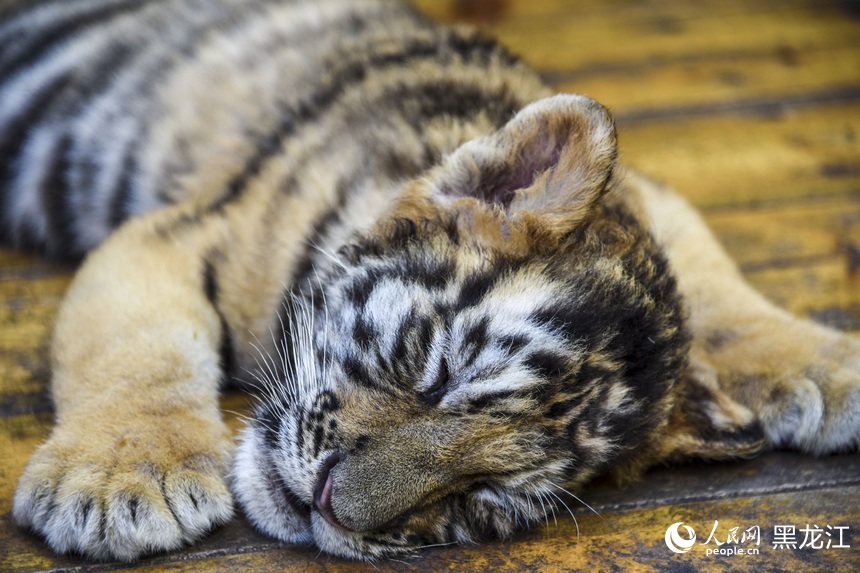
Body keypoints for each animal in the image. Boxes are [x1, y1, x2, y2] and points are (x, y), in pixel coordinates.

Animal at [3, 0, 859, 563]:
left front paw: (830, 367)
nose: (329, 505)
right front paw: (120, 479)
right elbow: (139, 343)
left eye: (483, 495)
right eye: (434, 372)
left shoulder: (660, 201)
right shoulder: (178, 232)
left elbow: (714, 276)